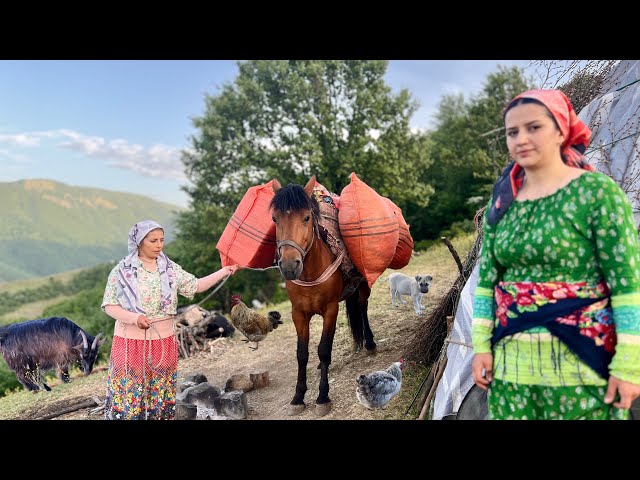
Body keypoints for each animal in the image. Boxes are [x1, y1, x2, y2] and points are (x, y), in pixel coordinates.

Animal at [268, 175, 378, 416]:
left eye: (306, 217)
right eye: (275, 219)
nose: (289, 265)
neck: (310, 274)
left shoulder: (330, 309)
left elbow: (324, 349)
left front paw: (322, 397)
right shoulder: (298, 314)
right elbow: (302, 354)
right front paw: (298, 397)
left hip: (363, 286)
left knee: (363, 307)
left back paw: (370, 343)